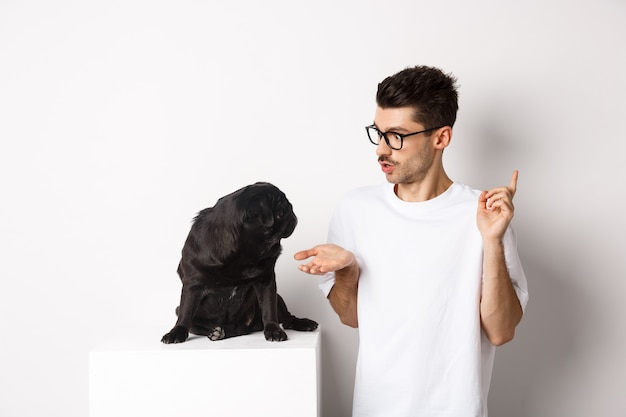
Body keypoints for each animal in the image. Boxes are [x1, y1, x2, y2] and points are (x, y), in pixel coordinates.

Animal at [161, 180, 316, 342]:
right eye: (281, 211)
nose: (292, 212)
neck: (244, 252)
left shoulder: (266, 281)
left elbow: (269, 308)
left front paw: (274, 330)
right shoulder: (193, 284)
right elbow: (186, 312)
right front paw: (176, 332)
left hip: (278, 299)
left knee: (286, 319)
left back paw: (303, 323)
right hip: (180, 310)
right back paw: (218, 332)